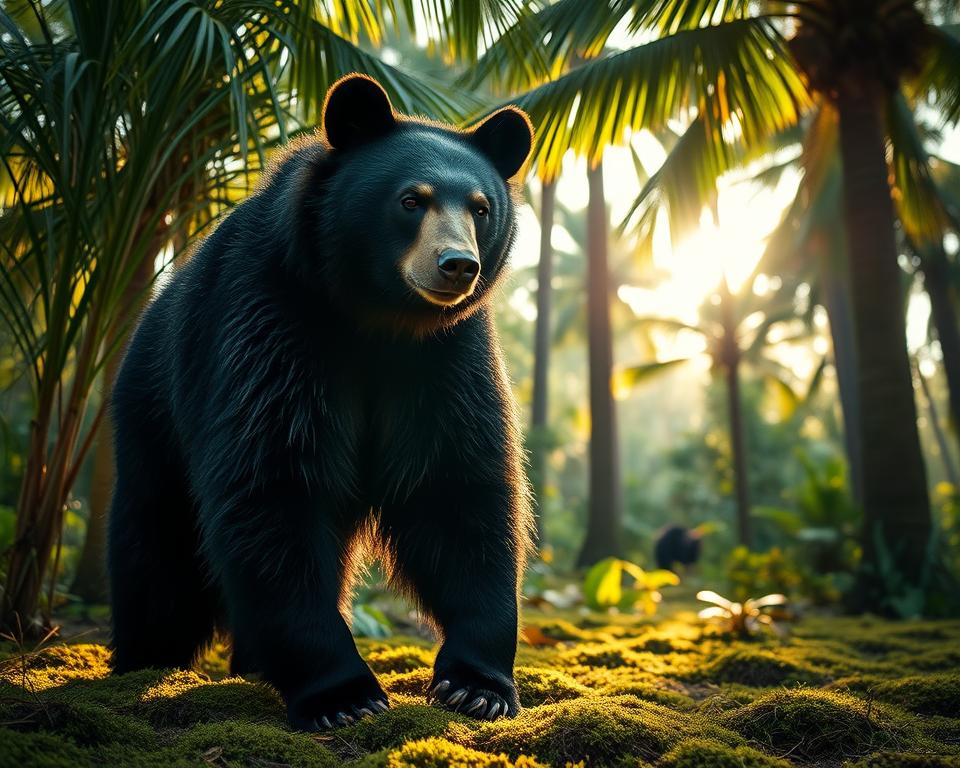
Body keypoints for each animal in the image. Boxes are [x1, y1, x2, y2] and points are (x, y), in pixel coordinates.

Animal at [107, 74, 534, 731]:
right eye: (412, 200)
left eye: (480, 207)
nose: (458, 266)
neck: (375, 317)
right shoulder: (269, 317)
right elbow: (272, 479)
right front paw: (343, 696)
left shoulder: (447, 356)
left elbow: (460, 488)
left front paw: (476, 686)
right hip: (153, 416)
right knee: (157, 548)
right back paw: (144, 657)